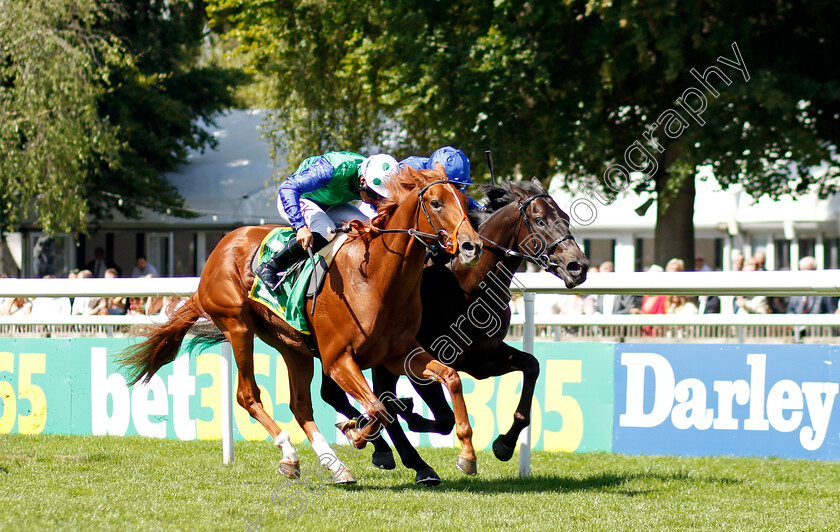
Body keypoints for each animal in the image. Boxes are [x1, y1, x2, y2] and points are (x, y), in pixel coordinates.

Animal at [120, 165, 486, 482]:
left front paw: (466, 454)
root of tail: (218, 251)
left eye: (464, 200)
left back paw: (336, 466)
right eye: (436, 202)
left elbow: (449, 378)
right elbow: (379, 407)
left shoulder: (398, 353)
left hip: (292, 346)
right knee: (248, 395)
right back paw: (290, 455)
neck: (375, 278)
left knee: (300, 405)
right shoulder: (338, 359)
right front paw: (359, 432)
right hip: (237, 326)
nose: (473, 246)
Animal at [322, 178, 592, 482]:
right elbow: (443, 418)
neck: (467, 284)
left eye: (566, 218)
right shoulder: (420, 360)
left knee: (341, 394)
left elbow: (531, 365)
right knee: (367, 397)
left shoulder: (482, 359)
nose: (578, 266)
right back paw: (401, 454)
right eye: (539, 220)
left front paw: (505, 443)